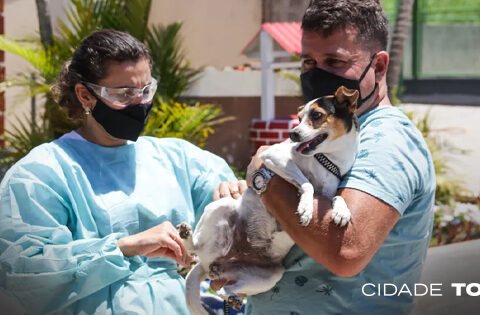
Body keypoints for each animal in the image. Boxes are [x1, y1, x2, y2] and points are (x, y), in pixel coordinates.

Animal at [179, 86, 360, 315]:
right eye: (299, 118)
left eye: (317, 115)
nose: (292, 134)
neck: (326, 159)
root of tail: (212, 262)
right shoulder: (274, 157)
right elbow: (307, 184)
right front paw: (306, 208)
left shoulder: (328, 192)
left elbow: (336, 196)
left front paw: (341, 211)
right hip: (221, 207)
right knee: (193, 250)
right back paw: (187, 236)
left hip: (266, 276)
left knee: (223, 289)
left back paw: (233, 298)